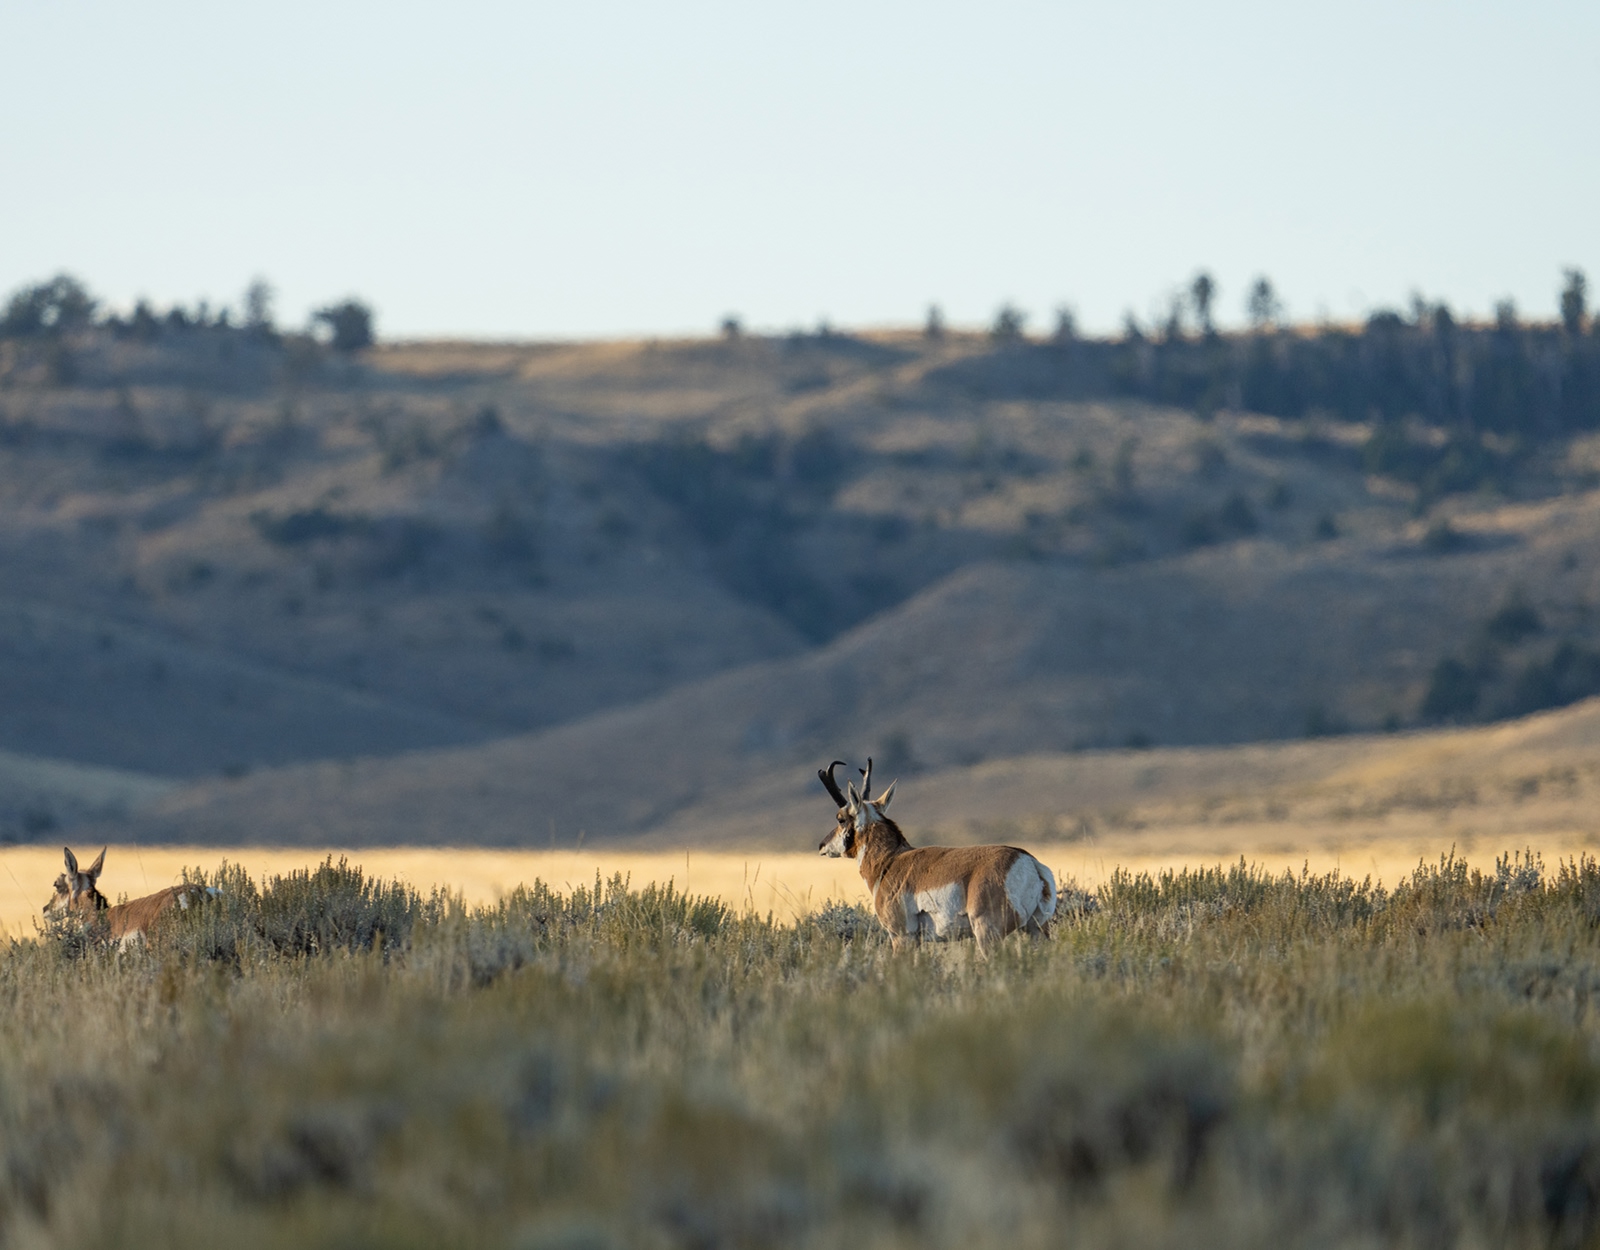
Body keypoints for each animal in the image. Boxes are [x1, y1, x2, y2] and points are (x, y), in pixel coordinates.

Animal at [817, 759, 1057, 955]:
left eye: (840, 819)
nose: (821, 846)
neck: (891, 861)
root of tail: (1028, 861)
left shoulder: (901, 937)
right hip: (1036, 930)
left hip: (988, 934)